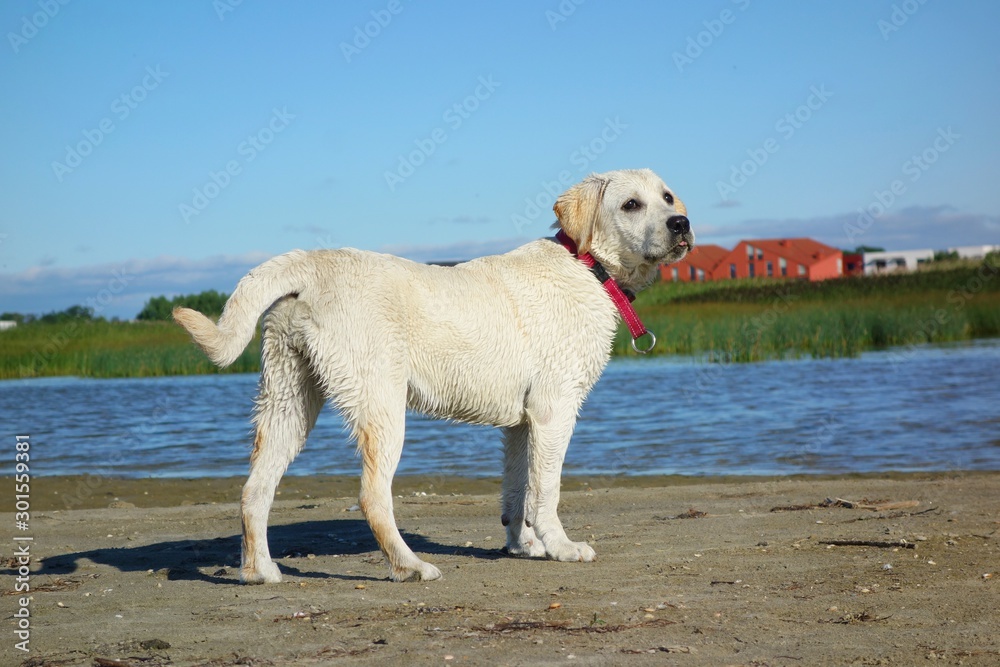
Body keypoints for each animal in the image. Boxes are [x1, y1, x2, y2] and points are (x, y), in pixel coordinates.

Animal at [174, 168, 696, 584]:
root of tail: (312, 263)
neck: (588, 268)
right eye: (631, 204)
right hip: (381, 409)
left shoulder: (521, 424)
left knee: (253, 490)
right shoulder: (554, 412)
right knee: (371, 498)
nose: (682, 224)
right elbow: (546, 490)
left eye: (669, 197)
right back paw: (410, 567)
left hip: (288, 402)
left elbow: (517, 491)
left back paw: (259, 572)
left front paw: (524, 546)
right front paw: (562, 548)